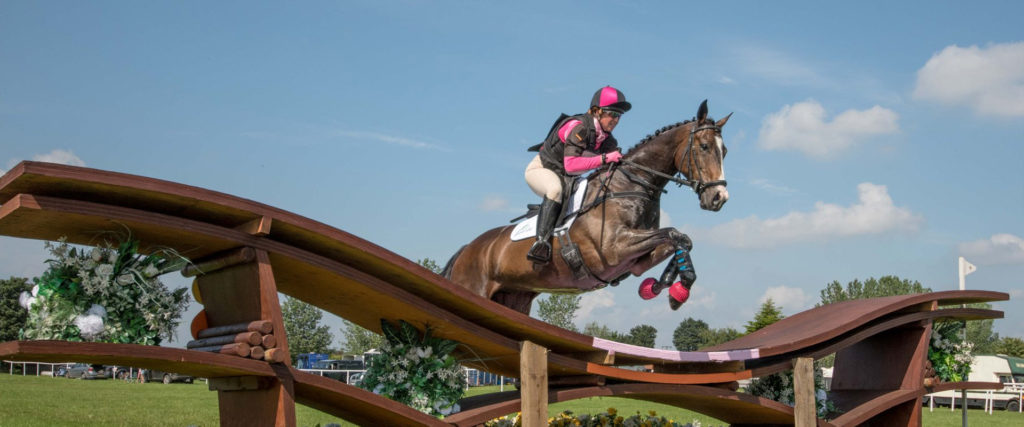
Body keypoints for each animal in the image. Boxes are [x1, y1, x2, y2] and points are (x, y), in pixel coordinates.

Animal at [443, 100, 731, 315]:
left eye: (724, 151)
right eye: (704, 147)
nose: (719, 197)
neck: (630, 184)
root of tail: (467, 249)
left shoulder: (636, 261)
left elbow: (681, 239)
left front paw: (665, 286)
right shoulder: (613, 249)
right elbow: (675, 234)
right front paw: (676, 289)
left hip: (513, 299)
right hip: (473, 289)